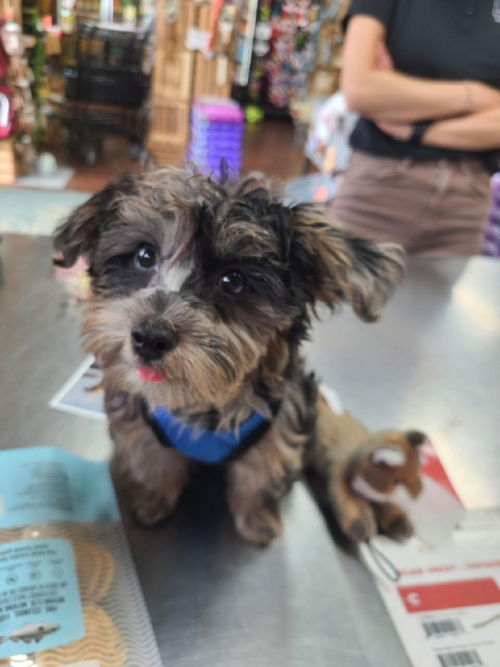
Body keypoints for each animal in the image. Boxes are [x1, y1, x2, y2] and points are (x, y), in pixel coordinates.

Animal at [54, 166, 404, 544]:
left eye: (233, 281)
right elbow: (153, 460)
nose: (149, 338)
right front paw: (152, 503)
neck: (202, 402)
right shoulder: (140, 419)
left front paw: (257, 520)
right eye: (144, 256)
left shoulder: (280, 422)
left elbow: (260, 472)